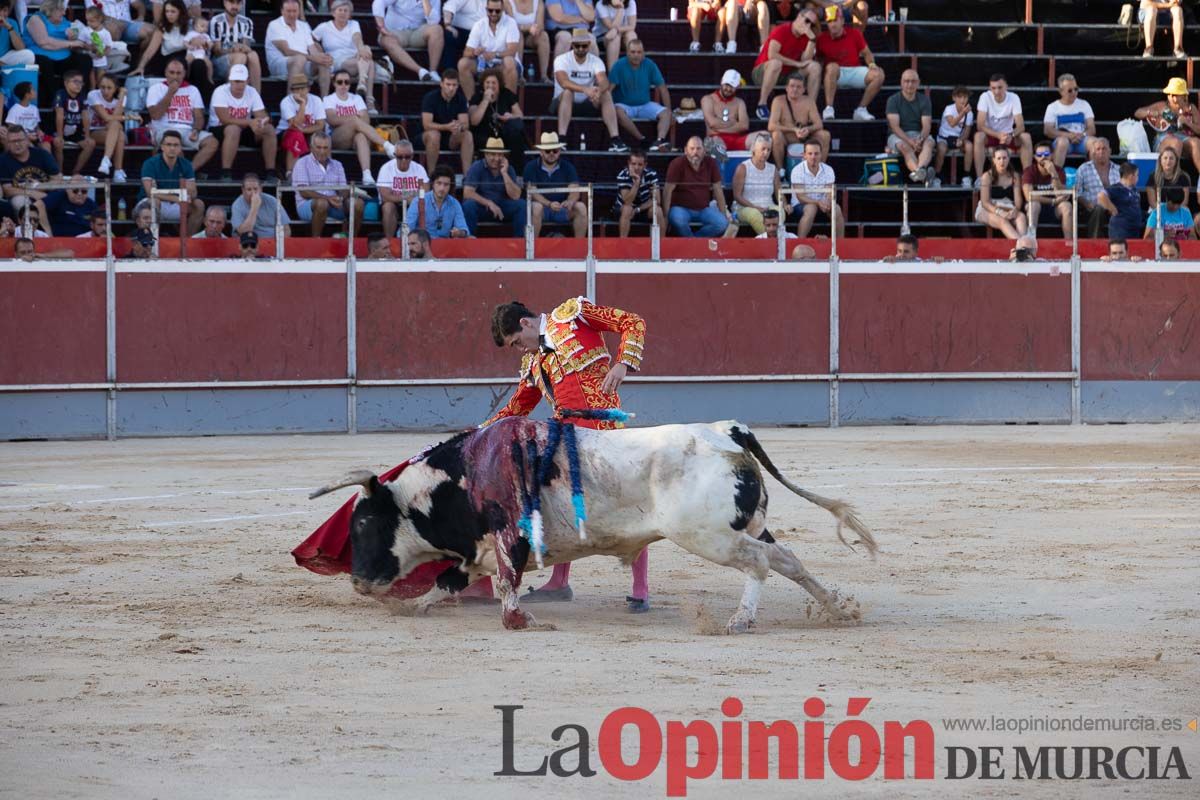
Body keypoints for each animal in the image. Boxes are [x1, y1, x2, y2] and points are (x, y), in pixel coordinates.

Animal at [309, 419, 873, 633]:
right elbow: (448, 583)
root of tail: (726, 431)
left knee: (757, 564)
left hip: (709, 536)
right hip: (746, 526)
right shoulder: (480, 548)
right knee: (787, 559)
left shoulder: (509, 539)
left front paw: (523, 621)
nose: (359, 581)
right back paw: (836, 610)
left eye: (364, 524)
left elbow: (507, 589)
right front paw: (412, 607)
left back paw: (739, 620)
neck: (467, 473)